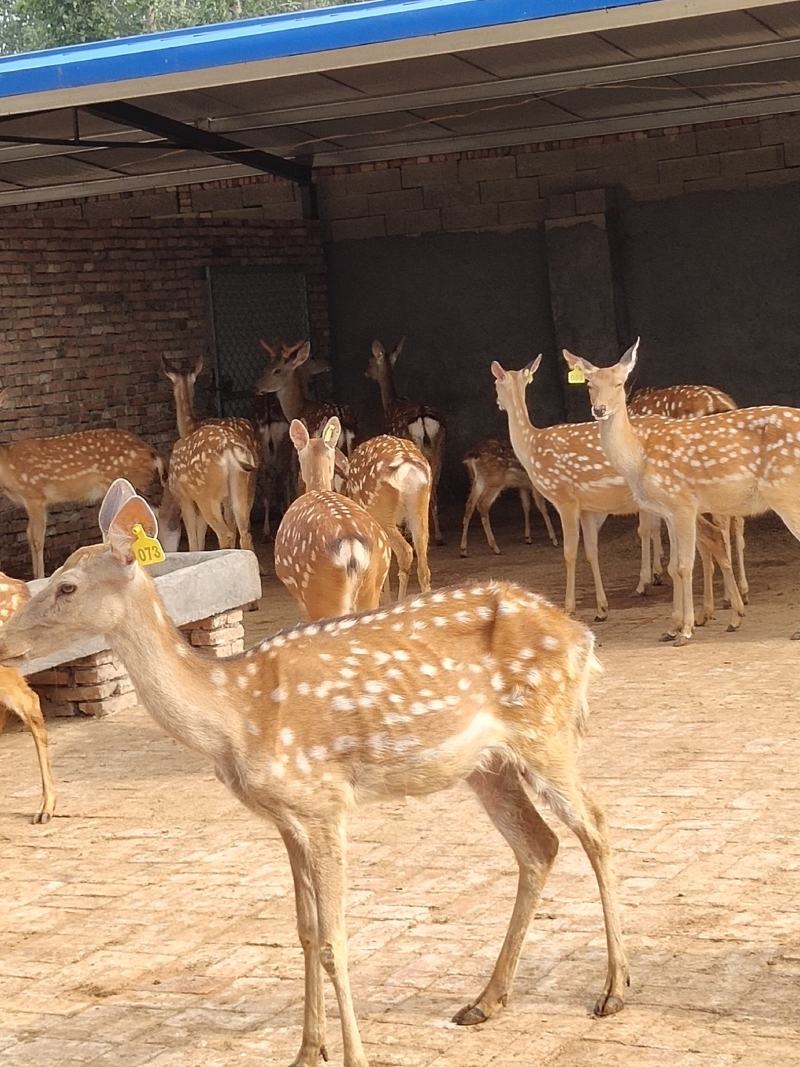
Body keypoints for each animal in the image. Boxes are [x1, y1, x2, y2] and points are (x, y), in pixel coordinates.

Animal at [0, 428, 178, 579]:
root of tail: (152, 452)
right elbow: (29, 534)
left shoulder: (34, 496)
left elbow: (37, 538)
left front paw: (40, 577)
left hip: (134, 481)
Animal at [0, 484, 629, 1065]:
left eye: (66, 586)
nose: (4, 640)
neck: (236, 714)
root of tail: (582, 637)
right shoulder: (287, 816)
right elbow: (303, 933)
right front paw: (307, 1050)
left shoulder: (326, 800)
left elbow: (333, 939)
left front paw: (353, 1056)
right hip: (487, 764)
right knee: (539, 845)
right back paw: (485, 1000)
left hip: (546, 731)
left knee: (596, 825)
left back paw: (614, 989)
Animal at [366, 338, 446, 546]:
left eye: (371, 361)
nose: (366, 372)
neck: (391, 402)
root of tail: (422, 415)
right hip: (439, 448)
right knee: (433, 487)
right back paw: (438, 536)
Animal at [628, 384, 748, 611]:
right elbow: (656, 525)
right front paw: (657, 573)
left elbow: (644, 529)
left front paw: (643, 583)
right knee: (737, 519)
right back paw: (743, 591)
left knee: (722, 521)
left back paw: (728, 596)